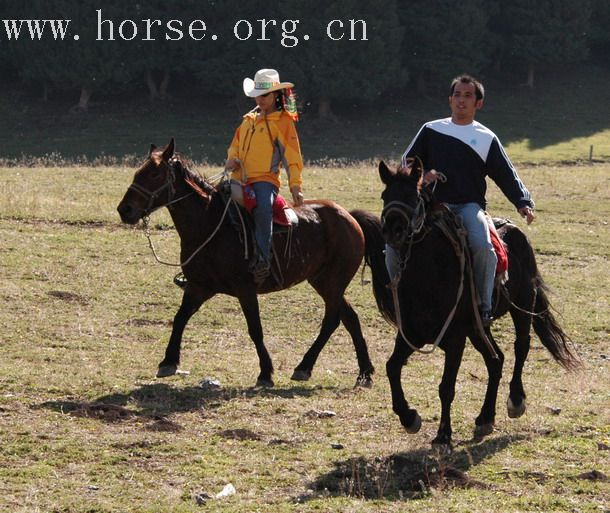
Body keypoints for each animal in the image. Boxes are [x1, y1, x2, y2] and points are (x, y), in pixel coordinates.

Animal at [114, 138, 370, 386]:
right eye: (138, 173)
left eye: (155, 175)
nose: (124, 209)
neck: (211, 224)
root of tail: (349, 217)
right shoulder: (199, 286)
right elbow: (180, 318)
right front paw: (168, 362)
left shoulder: (245, 289)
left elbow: (255, 329)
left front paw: (265, 372)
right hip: (323, 281)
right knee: (349, 318)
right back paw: (362, 372)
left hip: (333, 281)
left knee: (332, 319)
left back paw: (305, 366)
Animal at [350, 160, 576, 448]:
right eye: (384, 195)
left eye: (413, 196)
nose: (392, 230)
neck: (427, 277)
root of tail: (516, 232)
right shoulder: (411, 334)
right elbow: (392, 367)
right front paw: (409, 417)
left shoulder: (455, 337)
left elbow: (446, 386)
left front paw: (443, 435)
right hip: (479, 328)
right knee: (496, 360)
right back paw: (485, 418)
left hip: (522, 305)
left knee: (521, 346)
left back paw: (515, 400)